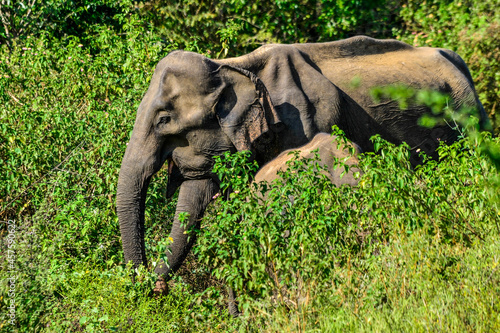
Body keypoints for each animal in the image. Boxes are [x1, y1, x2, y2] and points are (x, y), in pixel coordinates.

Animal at [115, 35, 486, 288]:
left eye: (164, 120)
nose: (155, 286)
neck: (233, 65)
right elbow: (198, 191)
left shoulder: (306, 123)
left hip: (470, 121)